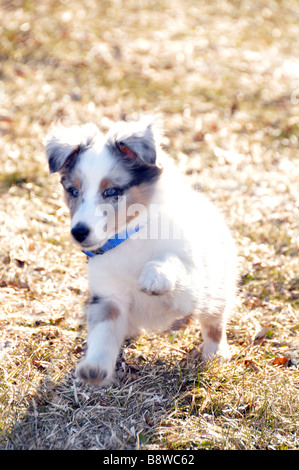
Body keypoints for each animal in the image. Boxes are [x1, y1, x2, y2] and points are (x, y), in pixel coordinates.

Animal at [45, 114, 237, 386]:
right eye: (73, 191)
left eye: (110, 191)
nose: (79, 232)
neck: (128, 237)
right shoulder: (108, 295)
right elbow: (103, 330)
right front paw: (94, 367)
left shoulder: (191, 290)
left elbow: (170, 259)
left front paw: (155, 276)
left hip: (217, 285)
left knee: (214, 321)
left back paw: (215, 352)